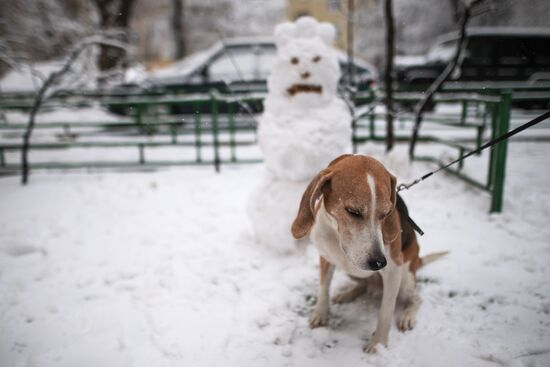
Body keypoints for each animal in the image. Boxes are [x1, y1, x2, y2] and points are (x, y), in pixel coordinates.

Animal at [292, 155, 446, 354]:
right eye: (353, 211)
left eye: (386, 213)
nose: (379, 263)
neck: (337, 236)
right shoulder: (326, 257)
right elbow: (323, 287)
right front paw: (321, 313)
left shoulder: (394, 270)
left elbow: (386, 311)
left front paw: (378, 343)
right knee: (363, 286)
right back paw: (347, 294)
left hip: (405, 278)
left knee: (416, 298)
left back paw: (408, 316)